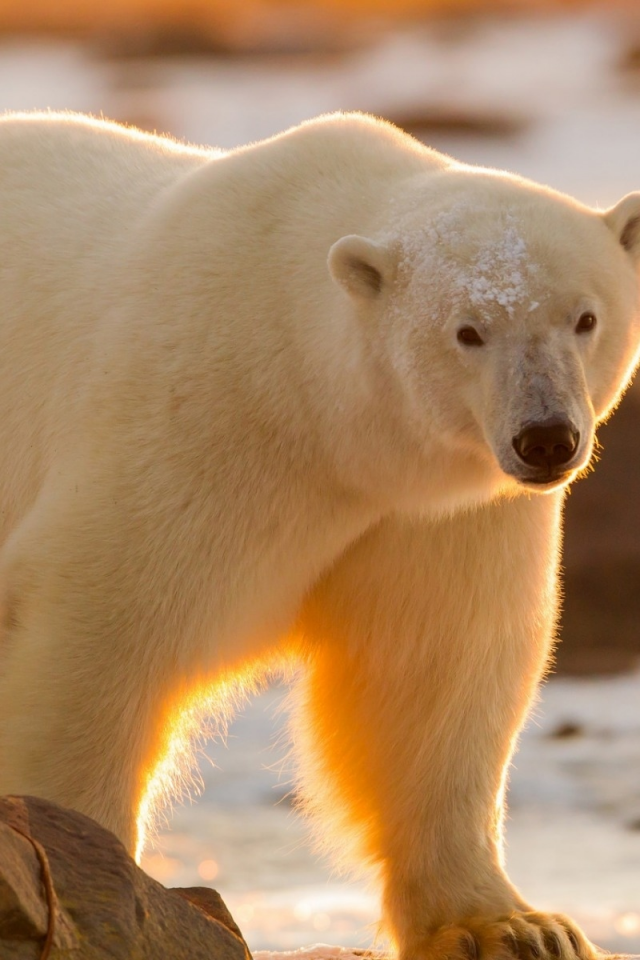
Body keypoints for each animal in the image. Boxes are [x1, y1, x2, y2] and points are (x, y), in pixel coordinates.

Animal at [0, 112, 640, 960]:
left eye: (585, 317)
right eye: (468, 331)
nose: (545, 438)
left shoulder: (436, 513)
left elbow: (434, 673)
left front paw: (516, 926)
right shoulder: (190, 424)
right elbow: (99, 629)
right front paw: (93, 881)